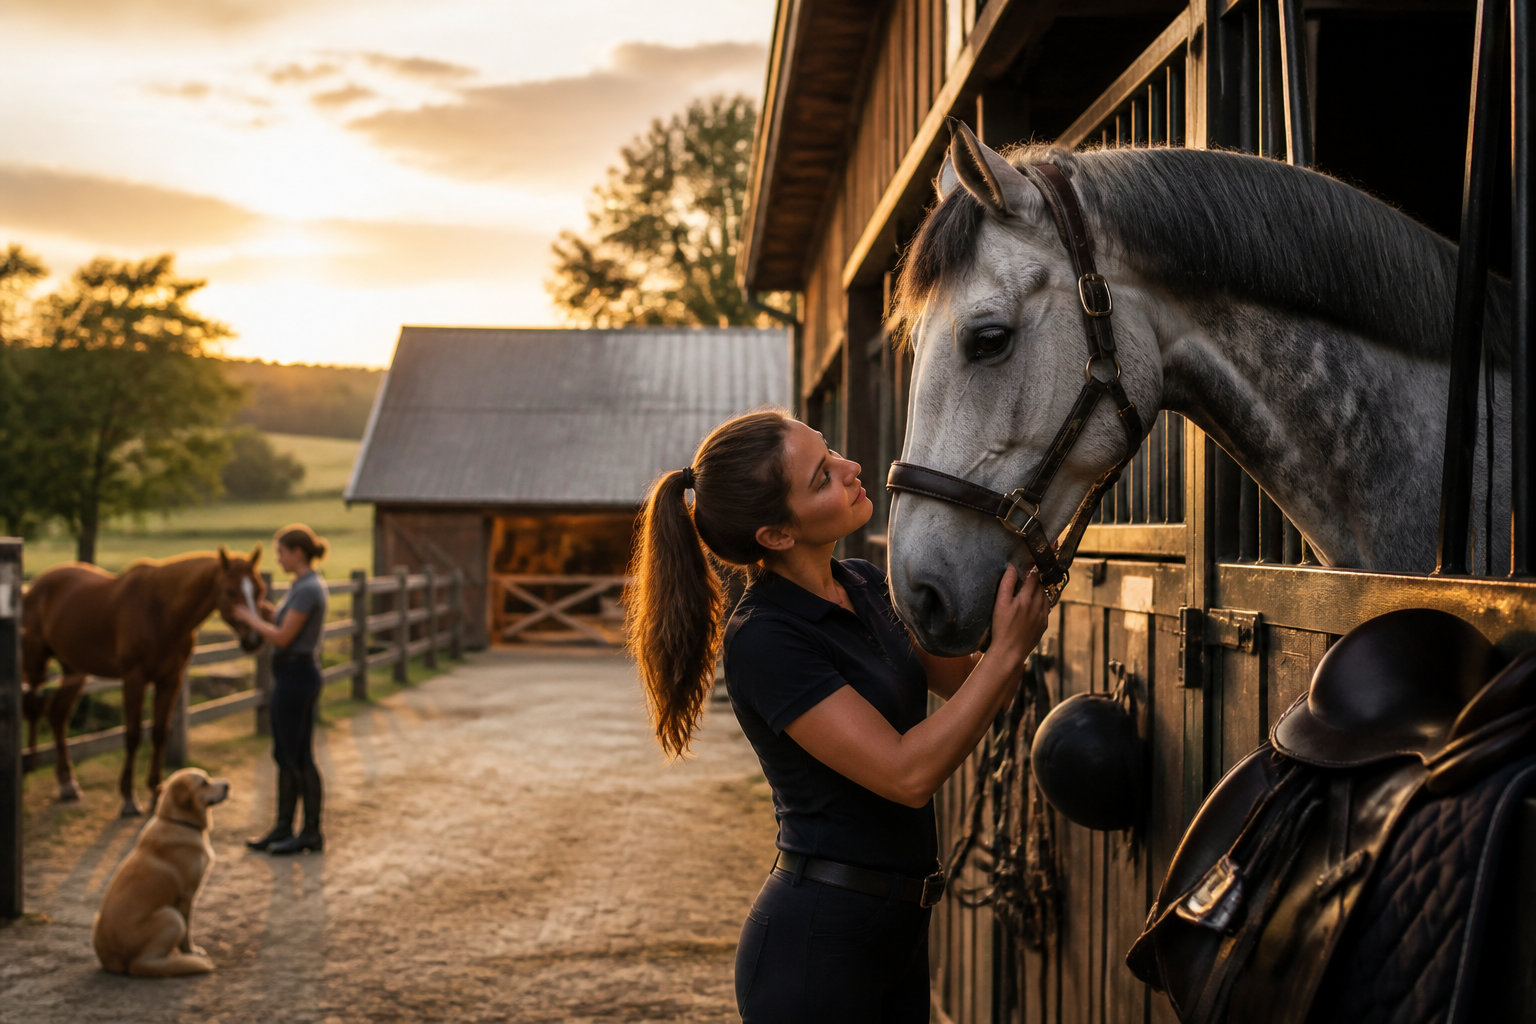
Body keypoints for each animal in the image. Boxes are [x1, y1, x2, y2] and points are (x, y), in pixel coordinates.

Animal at [20, 546, 268, 815]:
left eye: (259, 590)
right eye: (230, 591)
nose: (254, 640)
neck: (162, 614)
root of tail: (35, 585)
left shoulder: (170, 681)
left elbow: (159, 733)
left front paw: (156, 791)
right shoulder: (134, 679)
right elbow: (133, 735)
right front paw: (129, 798)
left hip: (74, 670)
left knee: (57, 715)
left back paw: (67, 784)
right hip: (36, 665)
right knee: (32, 708)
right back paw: (29, 770)